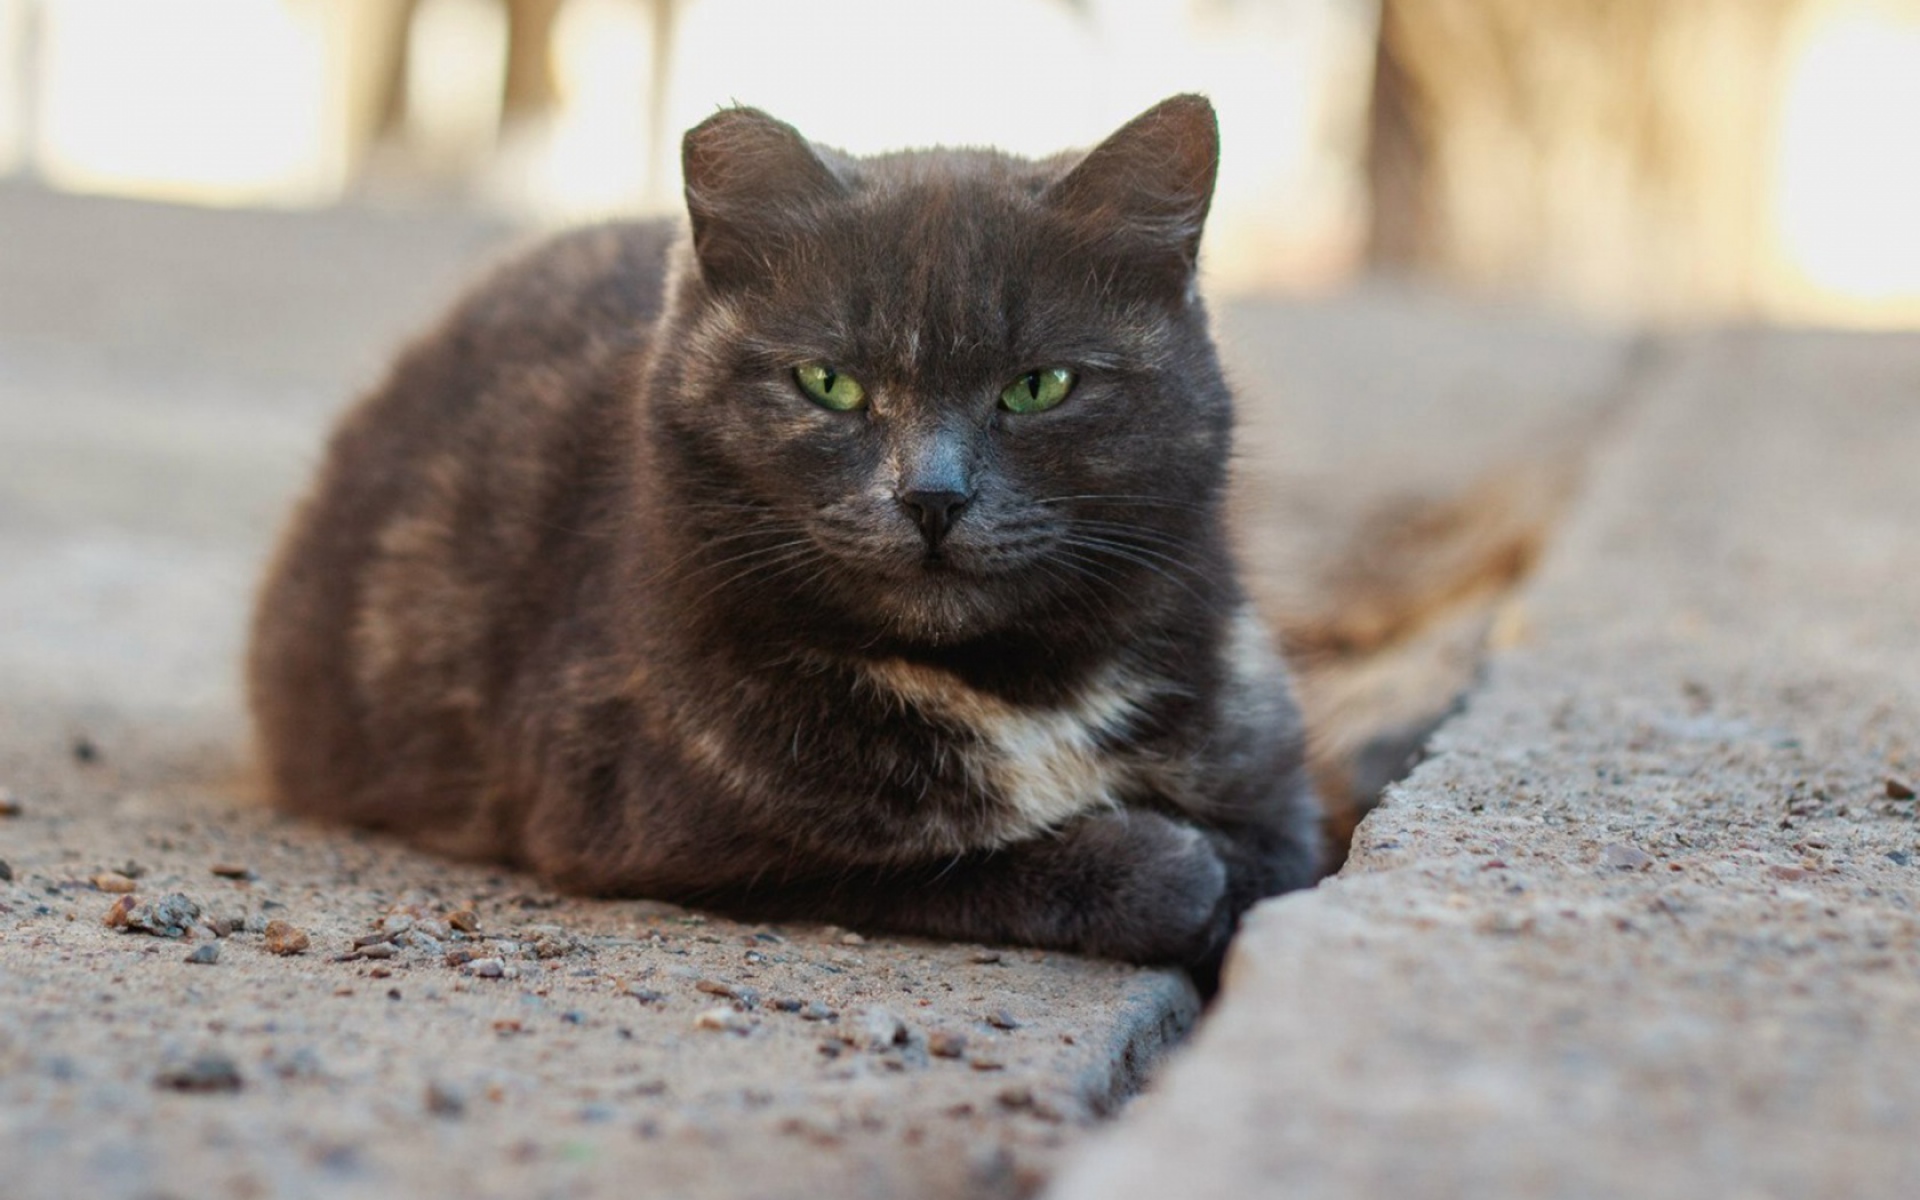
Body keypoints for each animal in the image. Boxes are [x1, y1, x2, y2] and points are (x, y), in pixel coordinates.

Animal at [247, 96, 1328, 983]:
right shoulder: (684, 836)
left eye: (1039, 386)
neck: (1015, 686)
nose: (933, 493)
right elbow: (965, 862)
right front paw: (1162, 864)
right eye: (828, 382)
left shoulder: (1272, 784)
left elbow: (1271, 855)